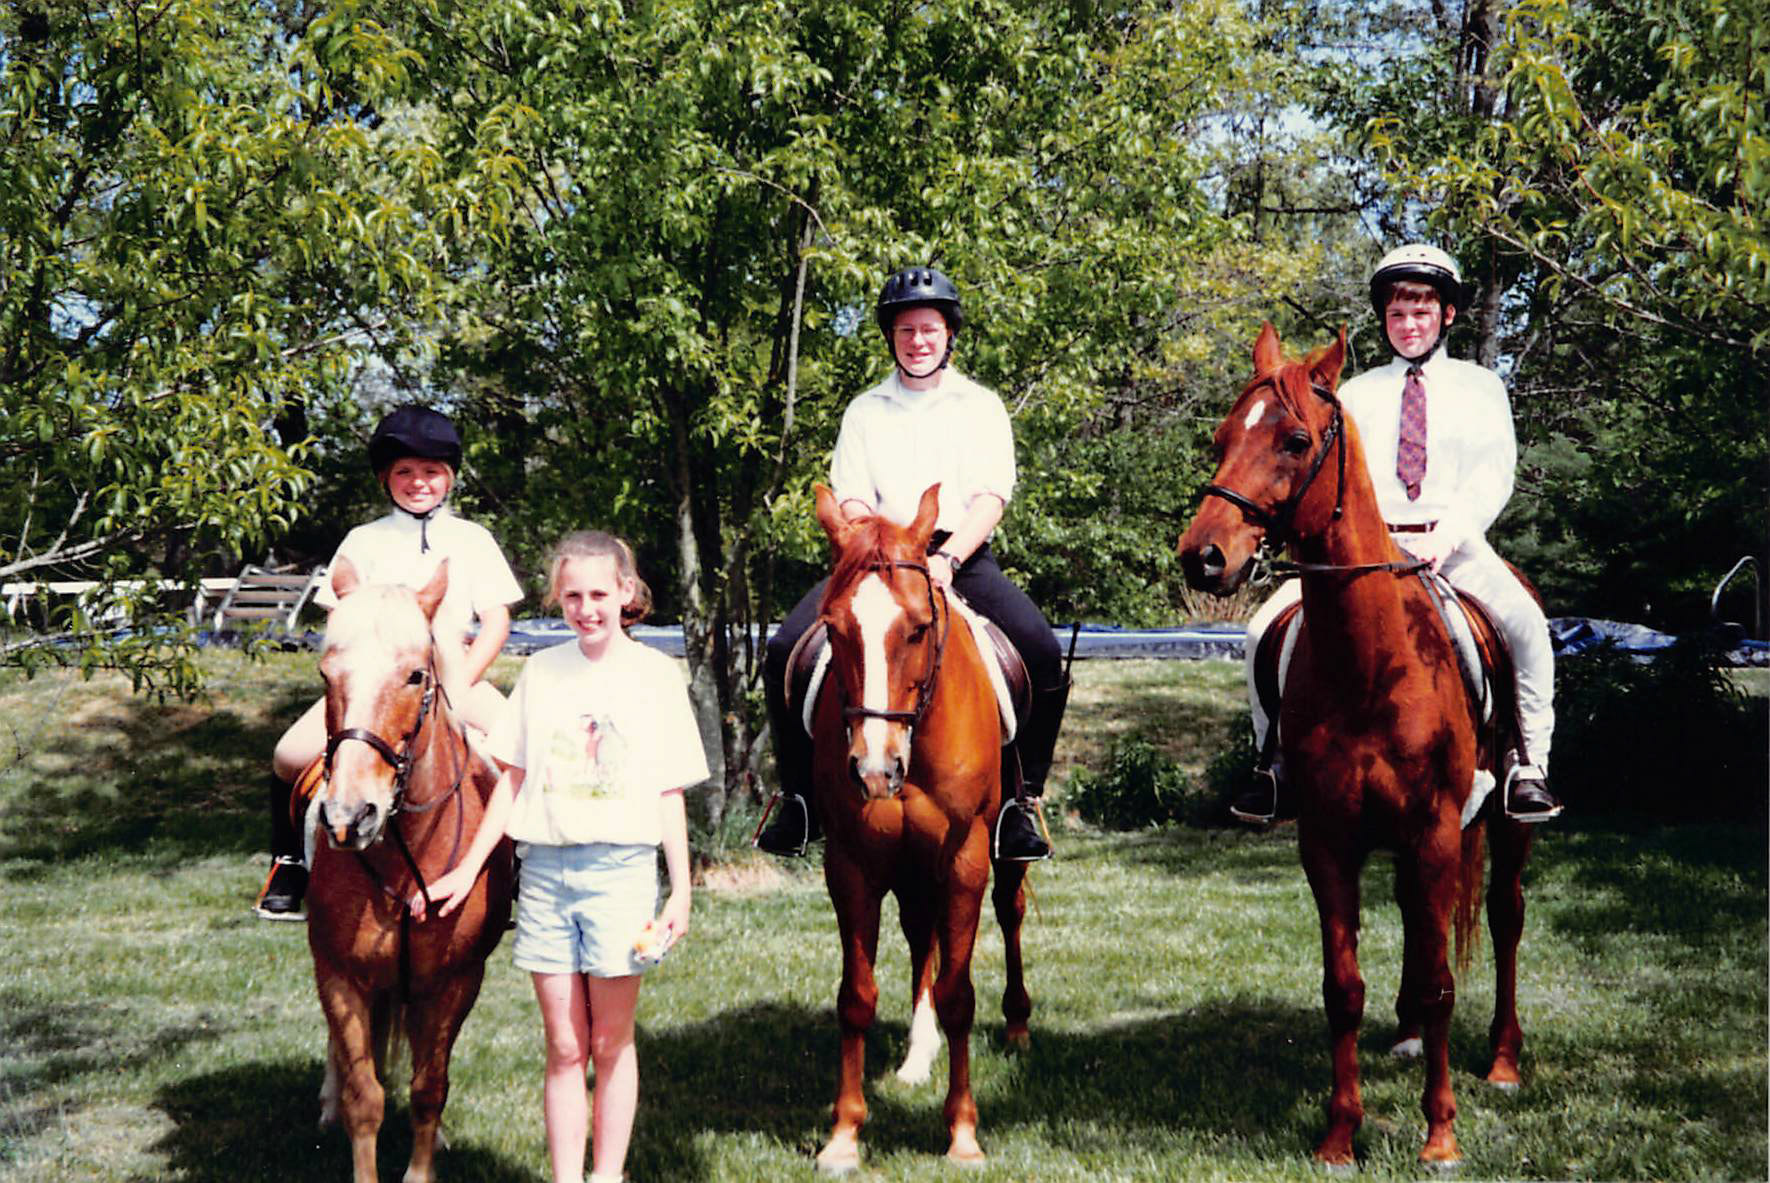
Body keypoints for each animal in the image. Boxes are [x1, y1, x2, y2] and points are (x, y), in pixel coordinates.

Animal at [305, 557, 514, 1183]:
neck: (403, 855)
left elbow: (429, 1087)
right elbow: (364, 1095)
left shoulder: (453, 983)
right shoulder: (339, 974)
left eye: (416, 676)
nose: (349, 817)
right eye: (326, 673)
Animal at [805, 482, 1031, 1173]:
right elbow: (856, 995)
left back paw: (1018, 1023)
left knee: (1010, 912)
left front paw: (962, 1134)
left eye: (918, 629)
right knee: (918, 933)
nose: (876, 769)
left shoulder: (965, 859)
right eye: (834, 627)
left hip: (1002, 851)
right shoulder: (851, 863)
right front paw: (844, 1135)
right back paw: (916, 1053)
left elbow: (960, 995)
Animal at [1175, 324, 1534, 1167]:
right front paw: (1340, 1134)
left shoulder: (1436, 831)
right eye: (1220, 439)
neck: (1372, 661)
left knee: (1505, 917)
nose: (1203, 555)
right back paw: (1405, 1036)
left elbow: (1441, 980)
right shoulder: (1329, 838)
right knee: (1412, 913)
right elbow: (1343, 987)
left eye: (1296, 439)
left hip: (1505, 823)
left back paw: (1503, 1060)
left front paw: (1440, 1134)